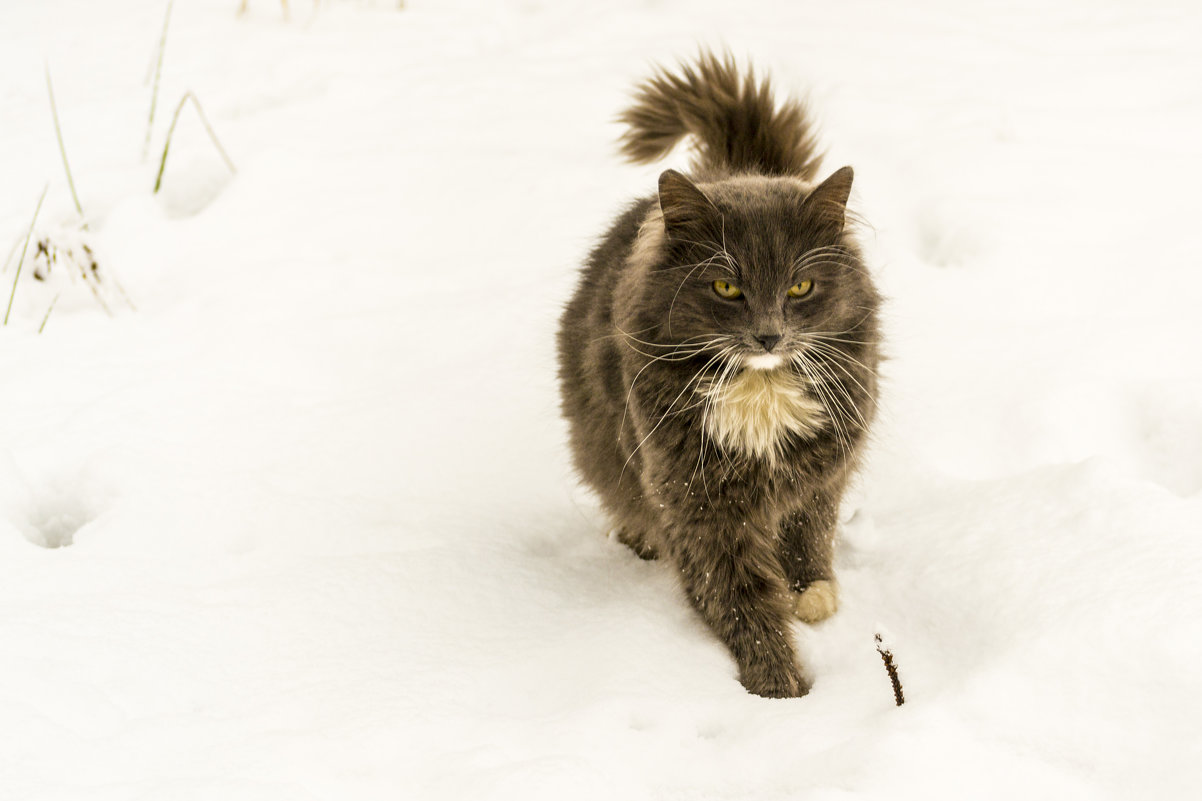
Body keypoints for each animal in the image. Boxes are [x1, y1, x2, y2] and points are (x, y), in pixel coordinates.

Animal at [555, 52, 884, 697]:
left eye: (800, 287)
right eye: (727, 288)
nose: (769, 335)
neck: (761, 389)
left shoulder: (820, 474)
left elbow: (808, 539)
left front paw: (812, 596)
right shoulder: (698, 507)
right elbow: (741, 603)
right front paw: (783, 693)